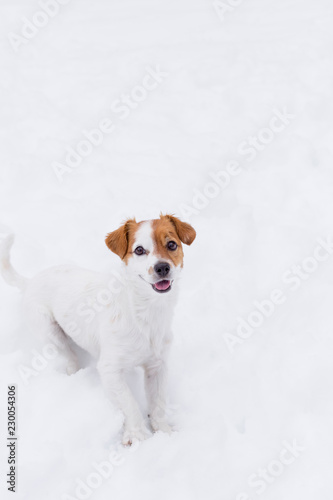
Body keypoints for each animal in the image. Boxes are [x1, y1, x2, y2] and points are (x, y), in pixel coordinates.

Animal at [0, 215, 195, 446]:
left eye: (172, 244)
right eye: (139, 250)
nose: (162, 268)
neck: (146, 313)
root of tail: (30, 282)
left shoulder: (157, 366)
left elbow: (158, 403)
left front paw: (163, 432)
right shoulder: (110, 369)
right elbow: (129, 403)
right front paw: (138, 435)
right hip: (51, 334)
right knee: (70, 358)